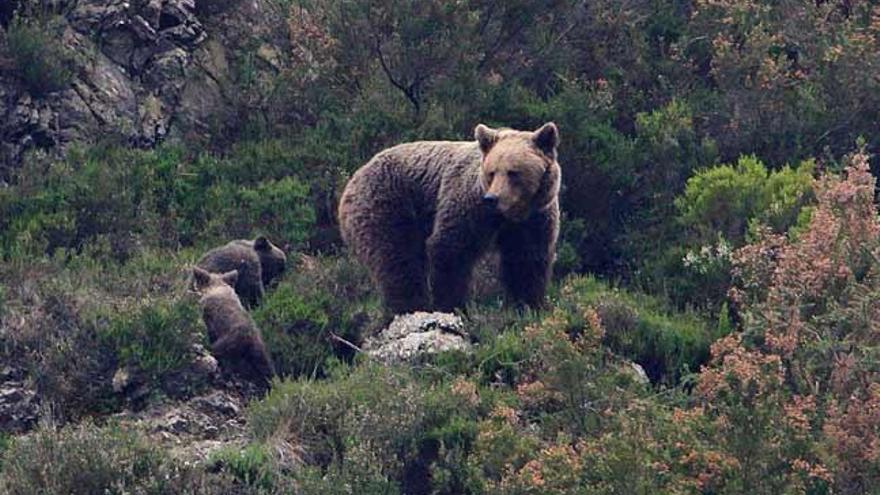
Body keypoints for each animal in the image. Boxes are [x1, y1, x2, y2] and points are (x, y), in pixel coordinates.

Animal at [336, 122, 556, 314]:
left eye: (513, 172)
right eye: (492, 172)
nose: (492, 198)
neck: (508, 215)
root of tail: (353, 178)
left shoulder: (534, 218)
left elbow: (526, 259)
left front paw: (528, 305)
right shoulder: (468, 203)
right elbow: (450, 248)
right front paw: (452, 306)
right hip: (386, 204)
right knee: (397, 259)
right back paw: (410, 307)